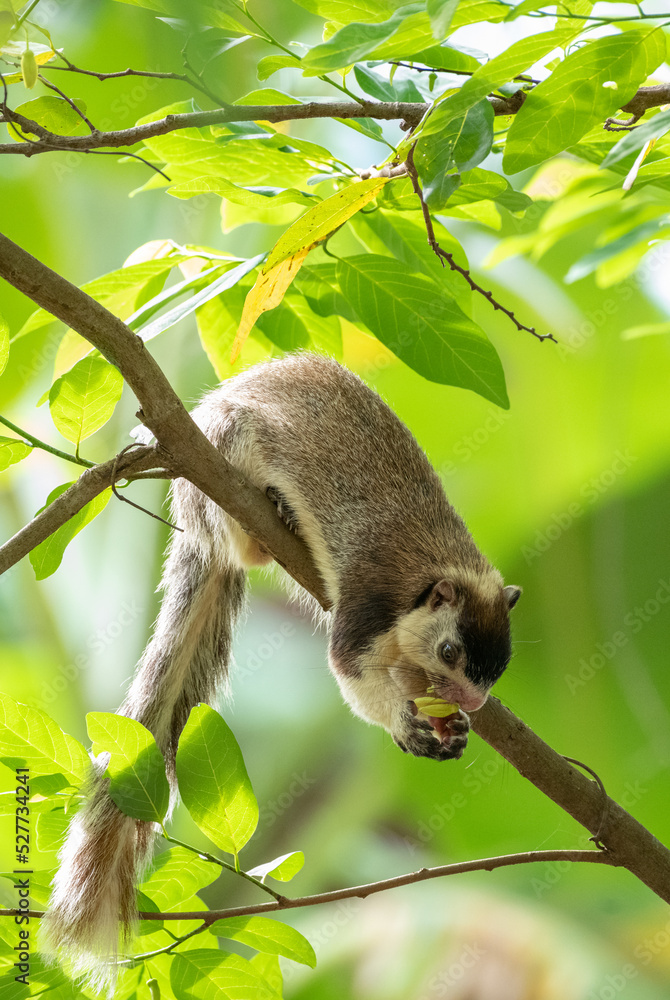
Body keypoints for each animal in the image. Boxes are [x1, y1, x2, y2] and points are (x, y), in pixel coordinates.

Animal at [42, 353, 520, 985]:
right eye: (449, 651)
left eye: (500, 668)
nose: (471, 703)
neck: (435, 567)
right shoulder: (368, 603)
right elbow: (350, 672)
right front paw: (406, 724)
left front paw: (449, 726)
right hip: (222, 461)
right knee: (238, 538)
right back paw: (272, 516)